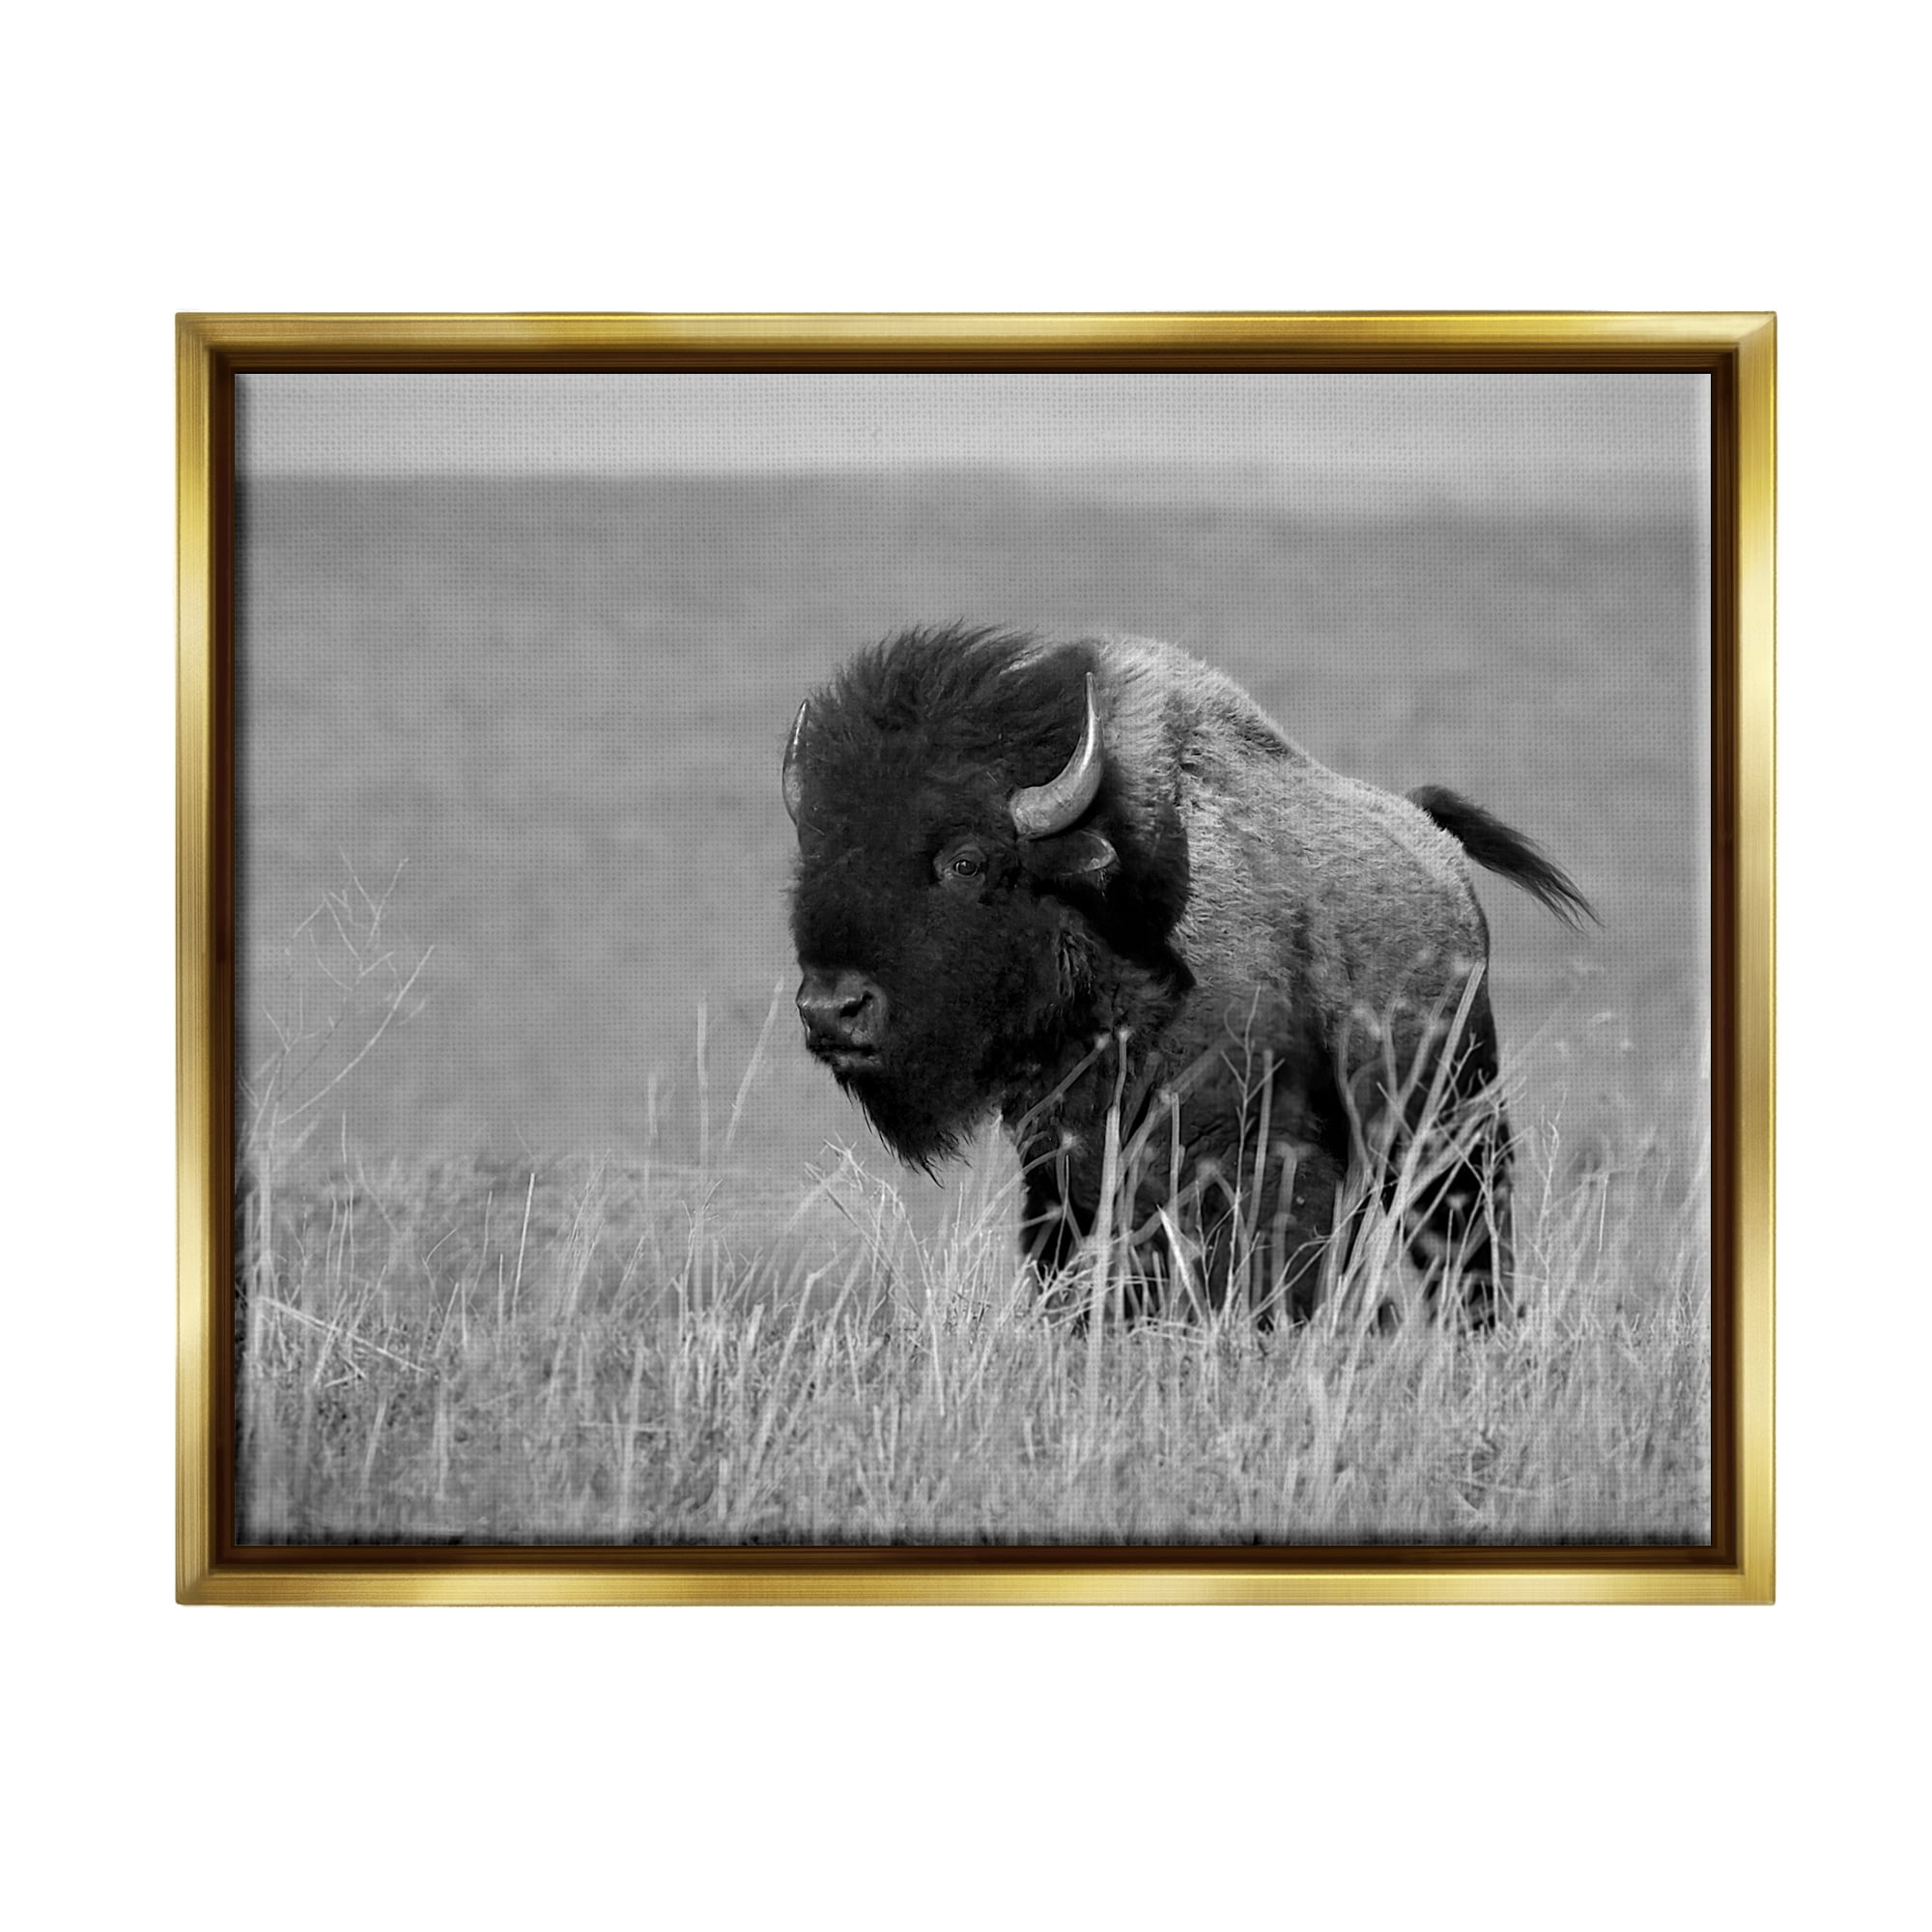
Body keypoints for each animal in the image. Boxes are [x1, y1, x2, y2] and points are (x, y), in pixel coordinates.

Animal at [783, 624, 1592, 1320]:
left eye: (967, 860)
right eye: (816, 856)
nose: (832, 1008)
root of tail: (1439, 853)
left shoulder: (1259, 1158)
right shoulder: (1066, 1175)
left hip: (1457, 1129)